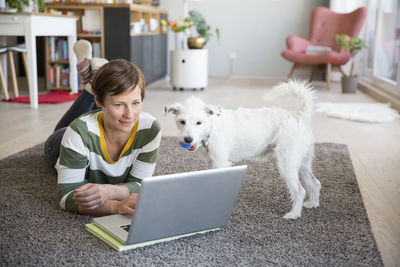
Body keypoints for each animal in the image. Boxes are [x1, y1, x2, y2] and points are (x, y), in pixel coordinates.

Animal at [166, 80, 322, 221]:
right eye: (182, 121)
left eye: (199, 122)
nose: (188, 139)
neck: (212, 127)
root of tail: (300, 116)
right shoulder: (212, 164)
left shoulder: (220, 163)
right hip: (302, 163)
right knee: (315, 183)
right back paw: (313, 203)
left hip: (287, 164)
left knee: (300, 191)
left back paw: (294, 214)